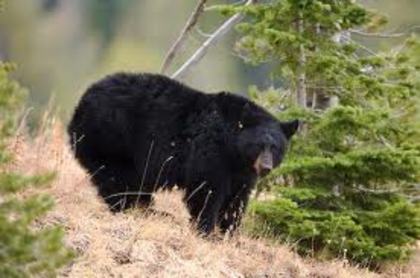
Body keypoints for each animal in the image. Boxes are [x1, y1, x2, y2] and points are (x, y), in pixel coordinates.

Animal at [68, 73, 298, 233]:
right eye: (259, 145)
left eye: (275, 148)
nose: (265, 167)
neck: (234, 151)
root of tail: (81, 104)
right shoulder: (211, 152)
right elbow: (206, 189)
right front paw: (205, 229)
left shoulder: (241, 173)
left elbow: (236, 200)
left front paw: (230, 231)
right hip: (114, 137)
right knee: (118, 179)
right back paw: (134, 208)